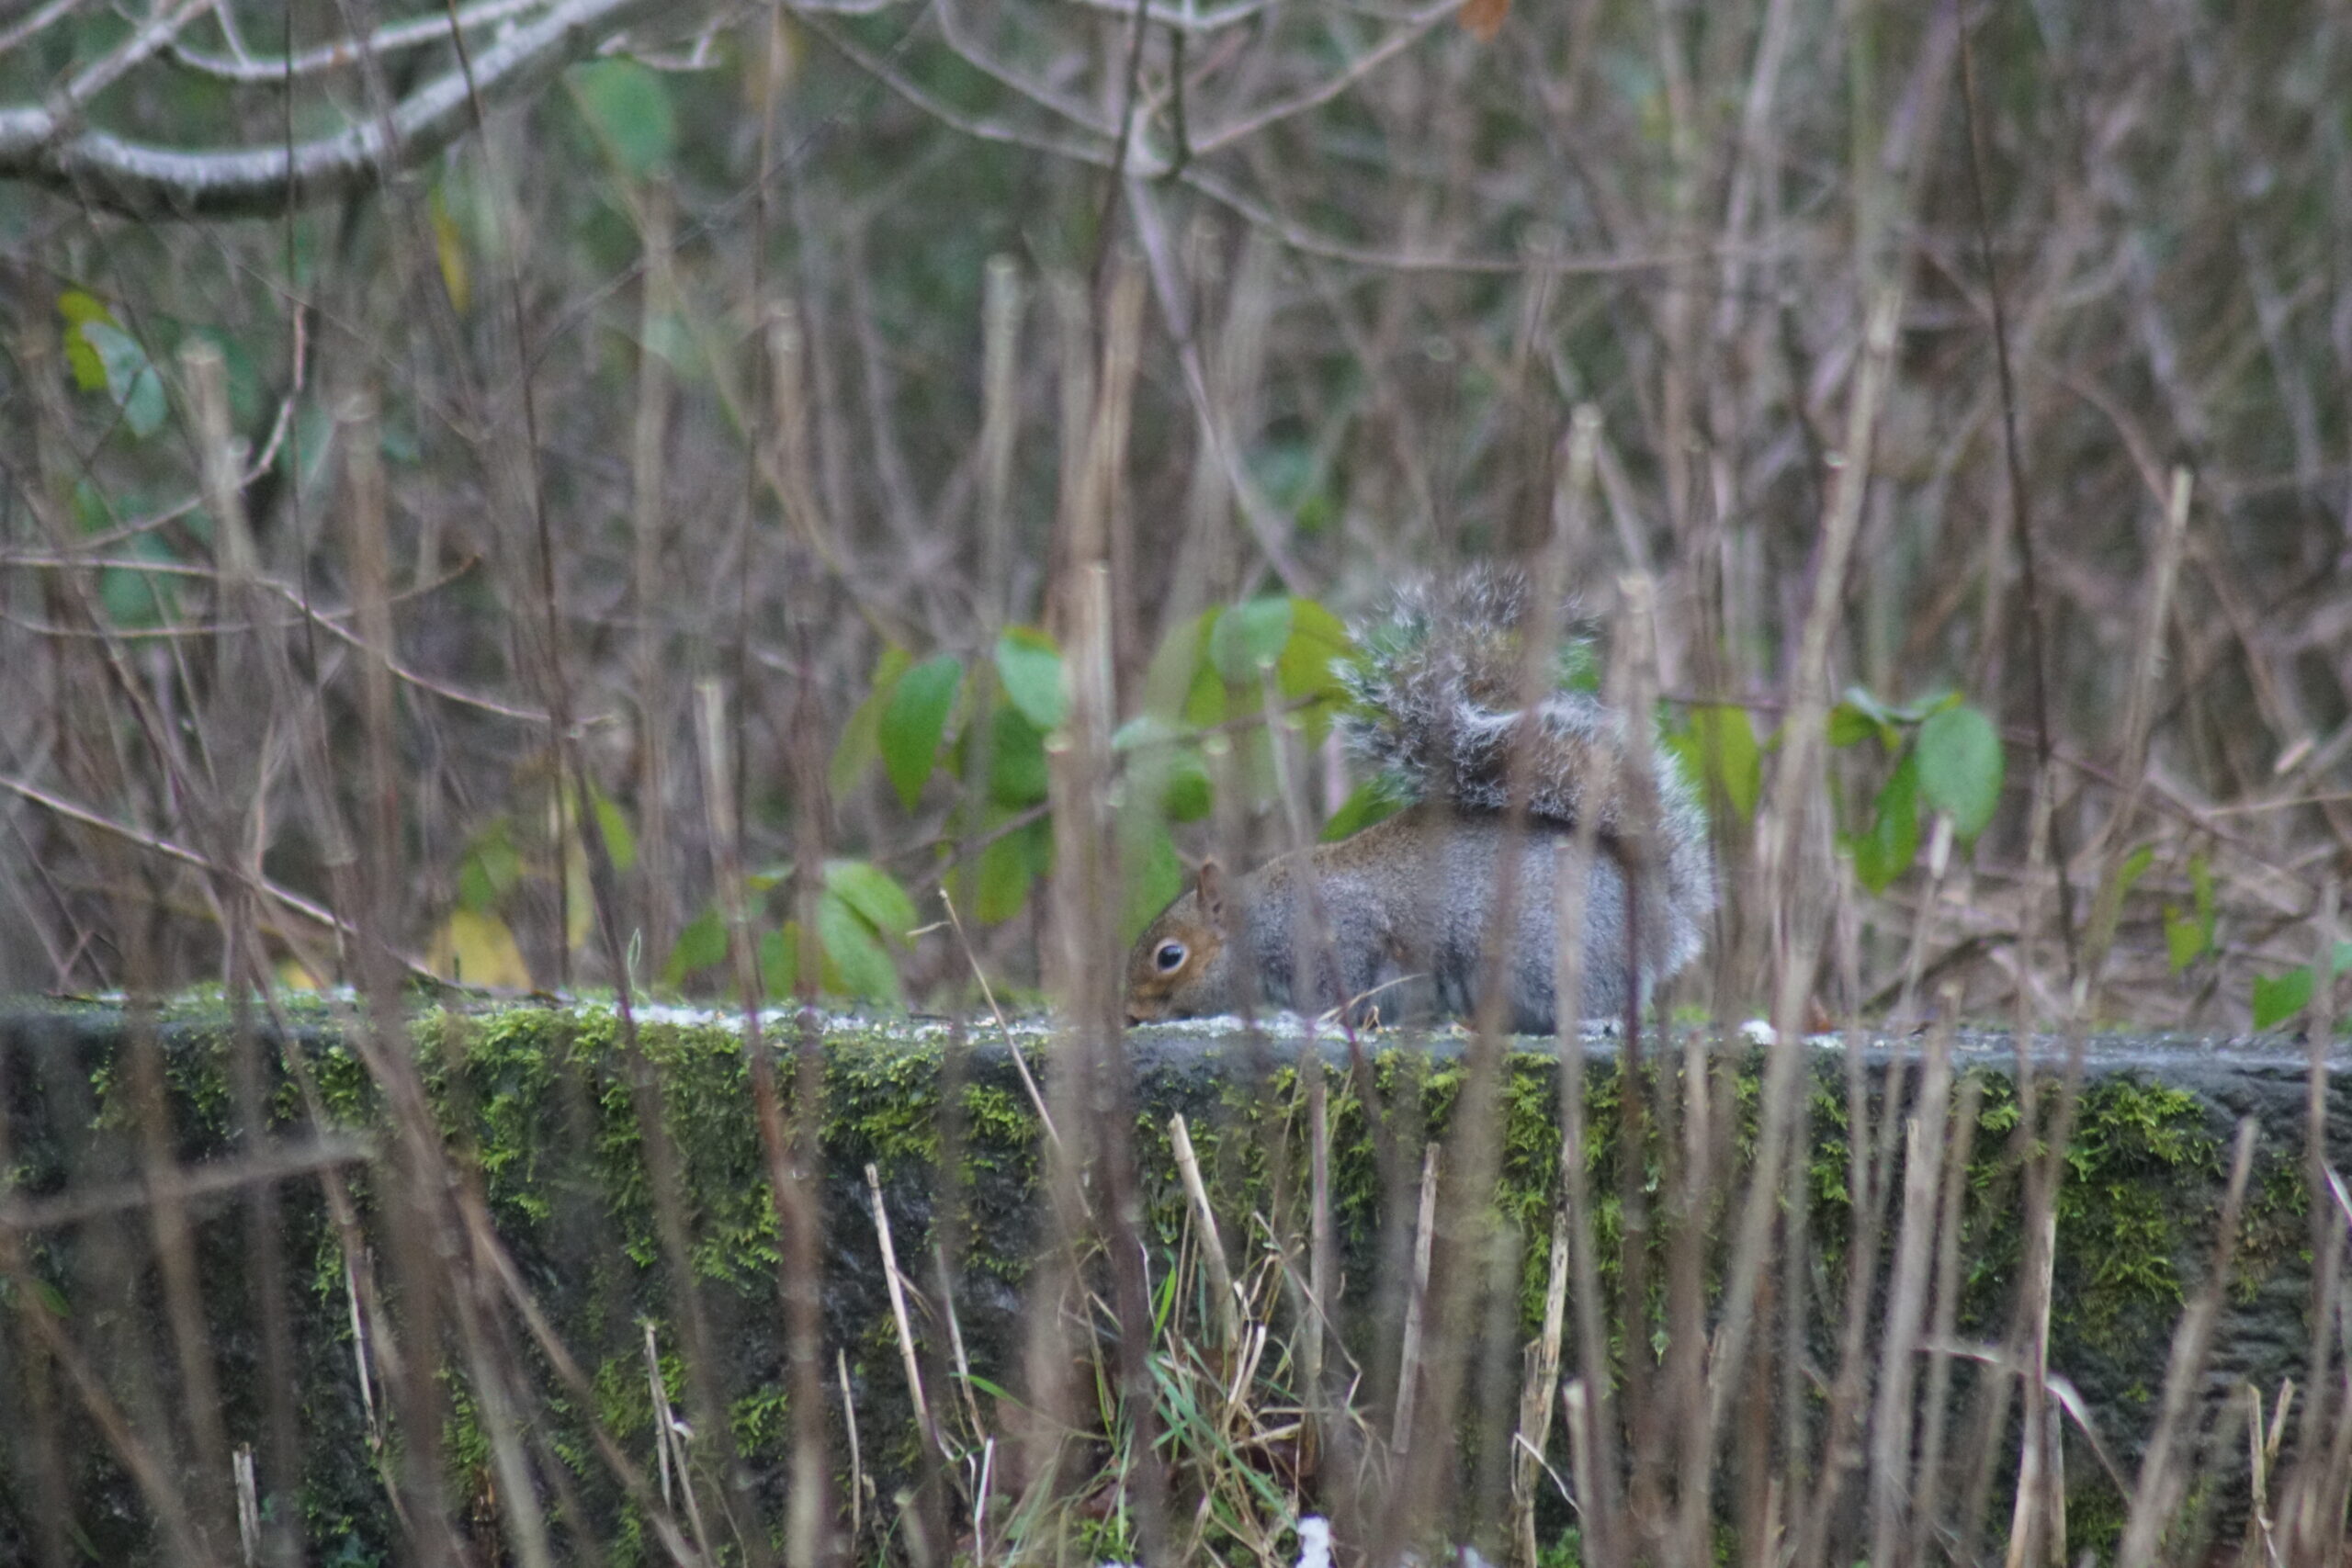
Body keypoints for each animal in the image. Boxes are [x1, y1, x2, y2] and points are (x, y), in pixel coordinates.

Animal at [1119, 570, 1712, 1034]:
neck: (1260, 921)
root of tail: (1664, 916)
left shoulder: (1341, 935)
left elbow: (1345, 988)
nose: (1129, 1014)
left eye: (1170, 957)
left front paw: (1307, 1020)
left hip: (1557, 958)